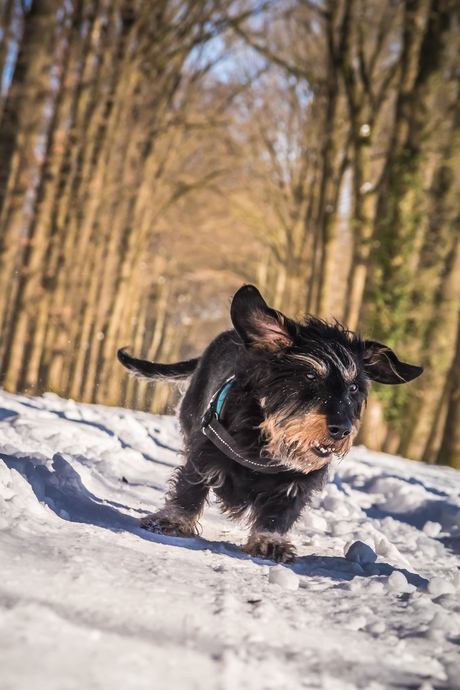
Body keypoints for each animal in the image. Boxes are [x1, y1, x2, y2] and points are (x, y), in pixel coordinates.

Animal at [119, 284, 424, 560]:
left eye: (353, 388)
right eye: (310, 377)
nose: (342, 430)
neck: (266, 442)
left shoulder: (298, 484)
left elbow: (278, 515)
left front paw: (270, 542)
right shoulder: (204, 452)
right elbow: (189, 491)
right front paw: (172, 521)